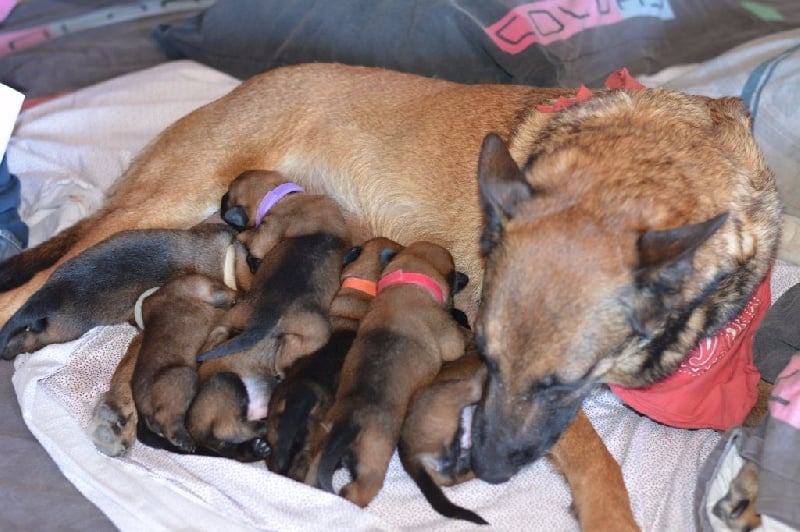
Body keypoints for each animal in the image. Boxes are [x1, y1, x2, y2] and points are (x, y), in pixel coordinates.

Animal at [304, 241, 468, 508]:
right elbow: (461, 338)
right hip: (373, 460)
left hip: (321, 448)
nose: (466, 278)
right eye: (453, 273)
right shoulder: (451, 340)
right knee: (359, 489)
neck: (406, 280)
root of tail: (345, 423)